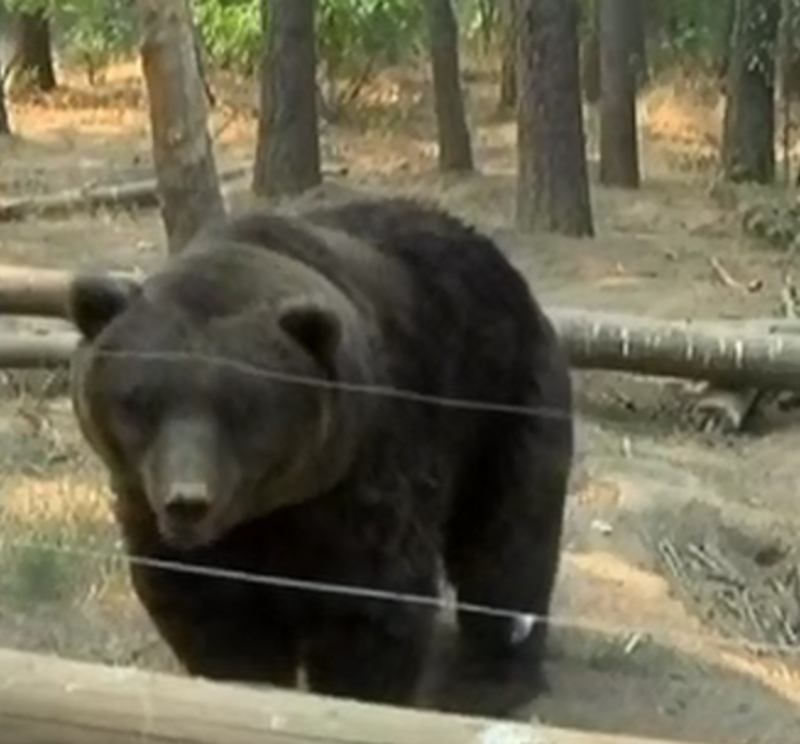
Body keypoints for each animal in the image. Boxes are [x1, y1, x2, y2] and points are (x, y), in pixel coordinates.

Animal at [65, 196, 574, 718]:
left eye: (240, 408)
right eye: (139, 401)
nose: (188, 501)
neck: (268, 507)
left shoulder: (364, 468)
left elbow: (368, 602)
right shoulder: (151, 502)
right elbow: (209, 603)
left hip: (504, 402)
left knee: (507, 540)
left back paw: (489, 681)